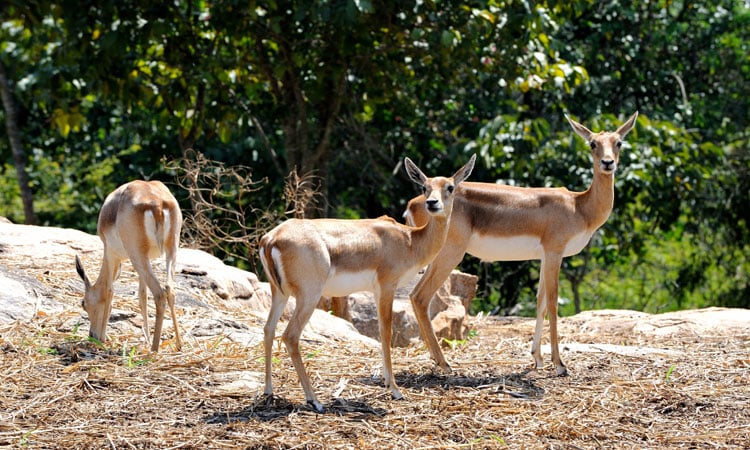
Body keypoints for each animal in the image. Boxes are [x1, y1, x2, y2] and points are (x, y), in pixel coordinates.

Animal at [75, 180, 183, 353]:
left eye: (83, 303)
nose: (92, 335)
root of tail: (157, 203)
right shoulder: (146, 259)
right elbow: (142, 295)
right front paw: (145, 338)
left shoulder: (110, 253)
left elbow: (109, 291)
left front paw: (102, 340)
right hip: (169, 251)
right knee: (169, 289)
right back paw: (178, 345)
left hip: (136, 255)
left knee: (159, 293)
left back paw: (154, 348)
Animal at [259, 155, 475, 412]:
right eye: (424, 187)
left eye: (450, 187)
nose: (433, 203)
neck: (410, 240)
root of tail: (271, 239)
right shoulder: (387, 286)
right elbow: (386, 332)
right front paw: (395, 390)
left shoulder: (375, 290)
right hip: (308, 296)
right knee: (290, 336)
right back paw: (315, 400)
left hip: (279, 294)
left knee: (268, 329)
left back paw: (269, 393)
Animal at [405, 112, 638, 377]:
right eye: (592, 144)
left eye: (619, 142)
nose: (608, 163)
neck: (579, 206)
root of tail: (415, 203)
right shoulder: (555, 253)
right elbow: (553, 303)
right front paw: (559, 364)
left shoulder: (545, 257)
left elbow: (540, 302)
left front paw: (537, 358)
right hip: (449, 254)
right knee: (421, 296)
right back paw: (444, 363)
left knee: (414, 295)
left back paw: (435, 360)